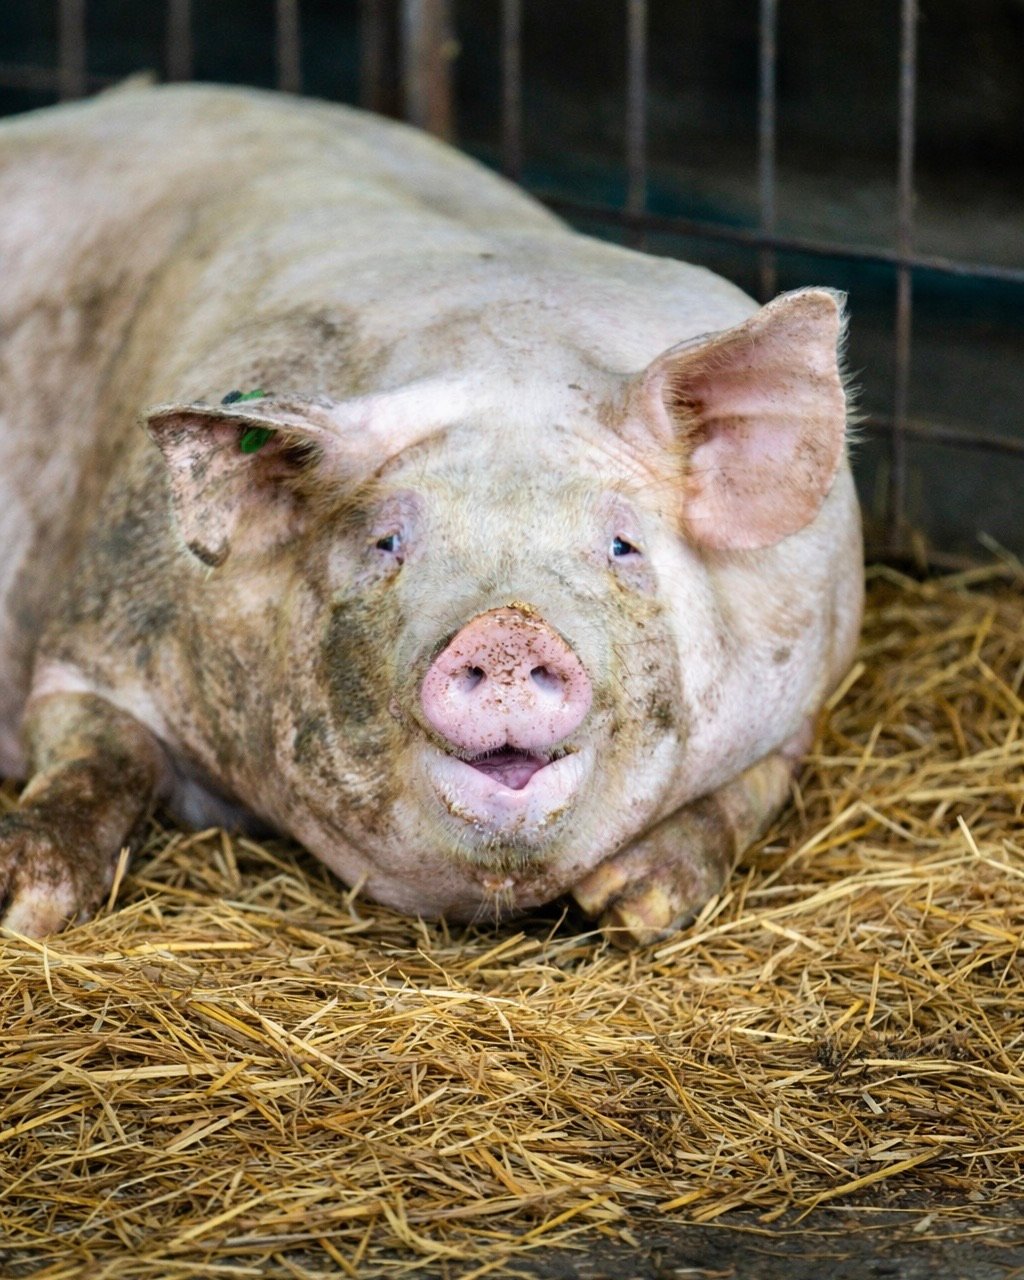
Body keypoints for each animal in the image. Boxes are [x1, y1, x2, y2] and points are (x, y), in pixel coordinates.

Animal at [0, 83, 863, 944]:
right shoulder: (103, 630)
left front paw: (634, 904)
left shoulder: (805, 677)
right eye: (388, 542)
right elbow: (100, 751)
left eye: (622, 545)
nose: (508, 629)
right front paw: (18, 905)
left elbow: (755, 786)